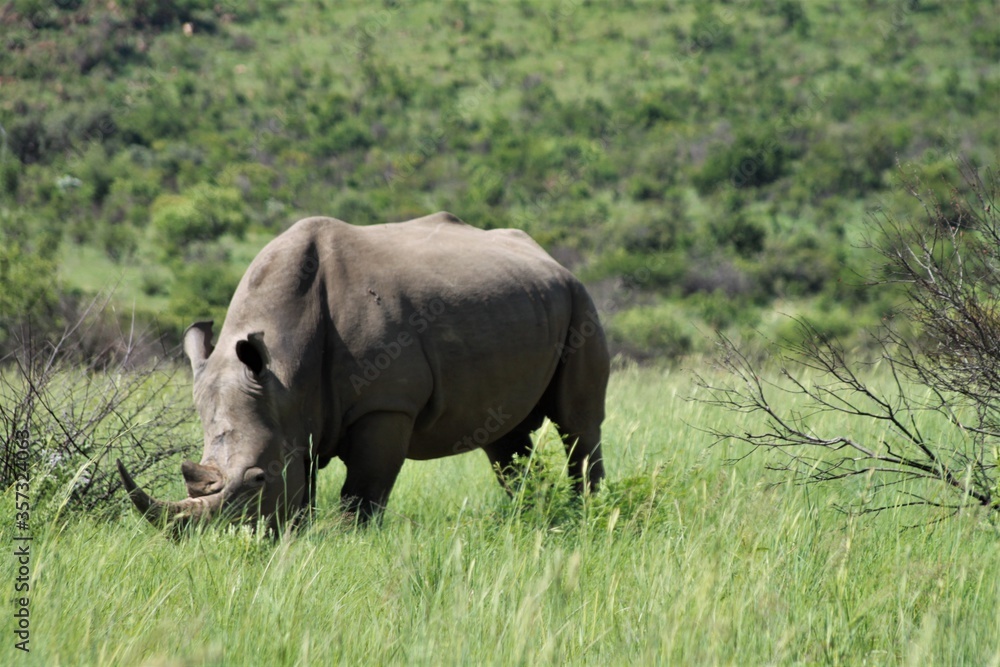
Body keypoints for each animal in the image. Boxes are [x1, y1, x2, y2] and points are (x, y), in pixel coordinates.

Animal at [117, 212, 609, 528]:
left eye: (258, 479)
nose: (226, 538)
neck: (283, 369)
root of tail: (549, 257)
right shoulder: (293, 409)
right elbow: (304, 485)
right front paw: (295, 534)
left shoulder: (387, 404)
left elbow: (363, 490)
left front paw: (349, 537)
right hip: (525, 302)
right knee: (503, 441)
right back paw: (534, 516)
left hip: (580, 302)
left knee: (578, 425)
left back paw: (586, 514)